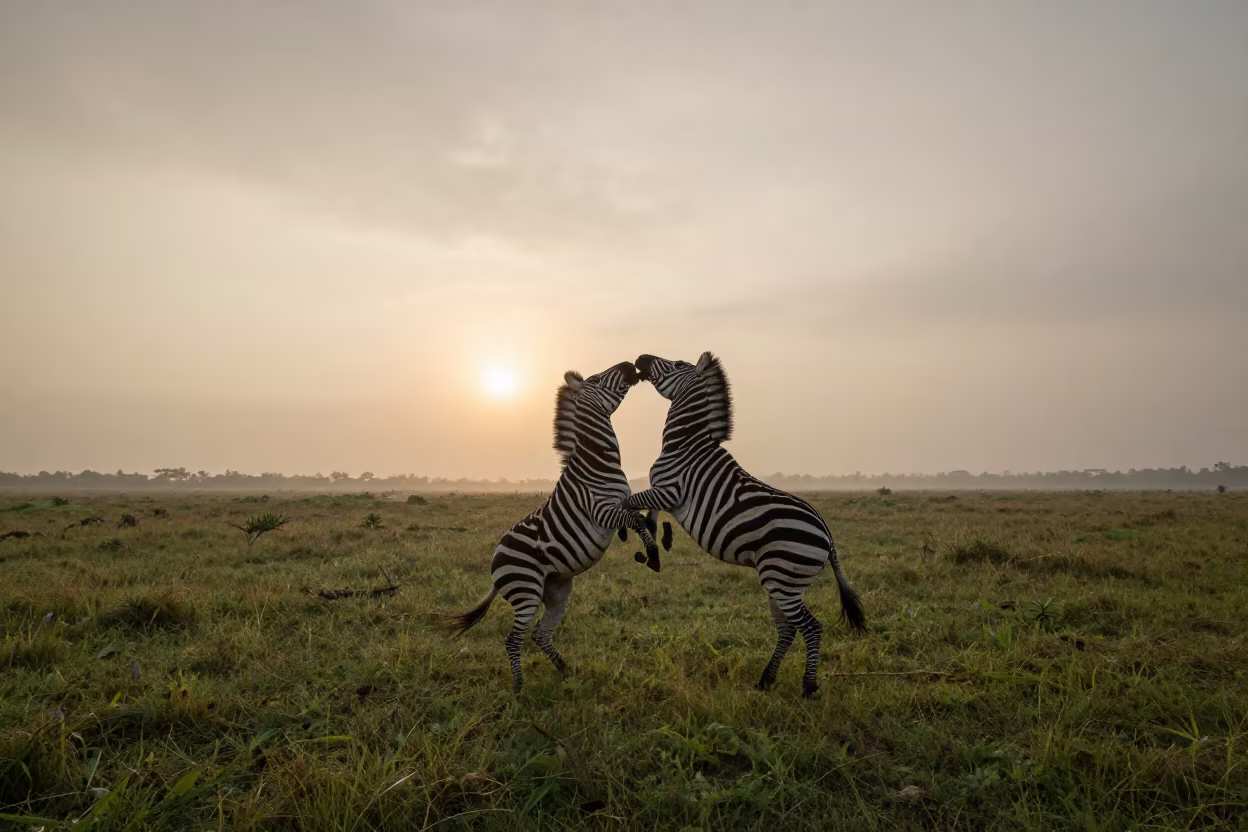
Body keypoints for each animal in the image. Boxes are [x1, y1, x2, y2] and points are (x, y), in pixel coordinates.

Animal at [443, 361, 660, 692]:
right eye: (599, 379)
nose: (629, 365)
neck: (598, 461)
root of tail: (495, 564)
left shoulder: (623, 501)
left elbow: (638, 516)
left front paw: (647, 539)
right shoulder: (600, 511)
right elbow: (635, 520)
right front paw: (651, 553)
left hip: (557, 590)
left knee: (540, 634)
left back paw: (565, 671)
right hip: (526, 591)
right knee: (513, 639)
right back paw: (519, 687)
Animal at [624, 352, 867, 697]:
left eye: (676, 365)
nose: (641, 358)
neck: (685, 444)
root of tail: (828, 536)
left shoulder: (669, 490)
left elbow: (629, 503)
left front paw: (643, 541)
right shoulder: (664, 495)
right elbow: (649, 515)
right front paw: (657, 547)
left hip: (782, 578)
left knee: (810, 627)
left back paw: (808, 686)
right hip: (783, 583)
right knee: (787, 629)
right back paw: (765, 680)